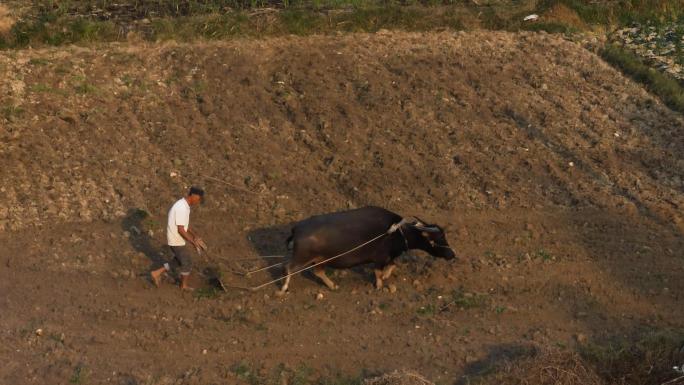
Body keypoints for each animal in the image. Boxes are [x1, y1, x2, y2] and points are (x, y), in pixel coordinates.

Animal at [278, 206, 454, 292]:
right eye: (437, 239)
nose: (452, 254)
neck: (397, 232)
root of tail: (296, 229)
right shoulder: (380, 258)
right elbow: (379, 272)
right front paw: (380, 284)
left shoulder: (388, 257)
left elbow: (393, 265)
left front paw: (386, 276)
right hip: (301, 258)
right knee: (288, 268)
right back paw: (284, 288)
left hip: (320, 260)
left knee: (318, 272)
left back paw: (333, 286)